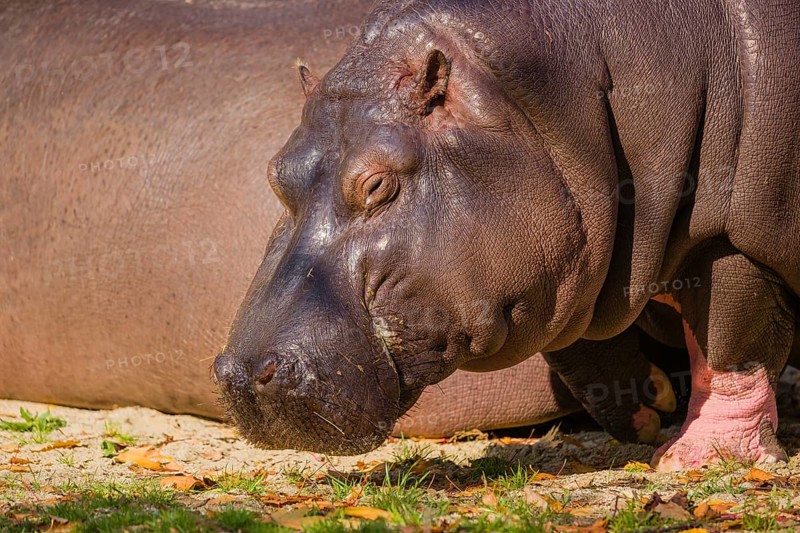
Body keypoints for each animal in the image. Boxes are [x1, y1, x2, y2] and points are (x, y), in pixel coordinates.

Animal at [214, 0, 800, 471]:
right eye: (276, 172)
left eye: (377, 184)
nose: (240, 374)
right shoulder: (578, 261)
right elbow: (581, 351)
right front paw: (650, 408)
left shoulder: (729, 238)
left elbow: (732, 343)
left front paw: (696, 459)